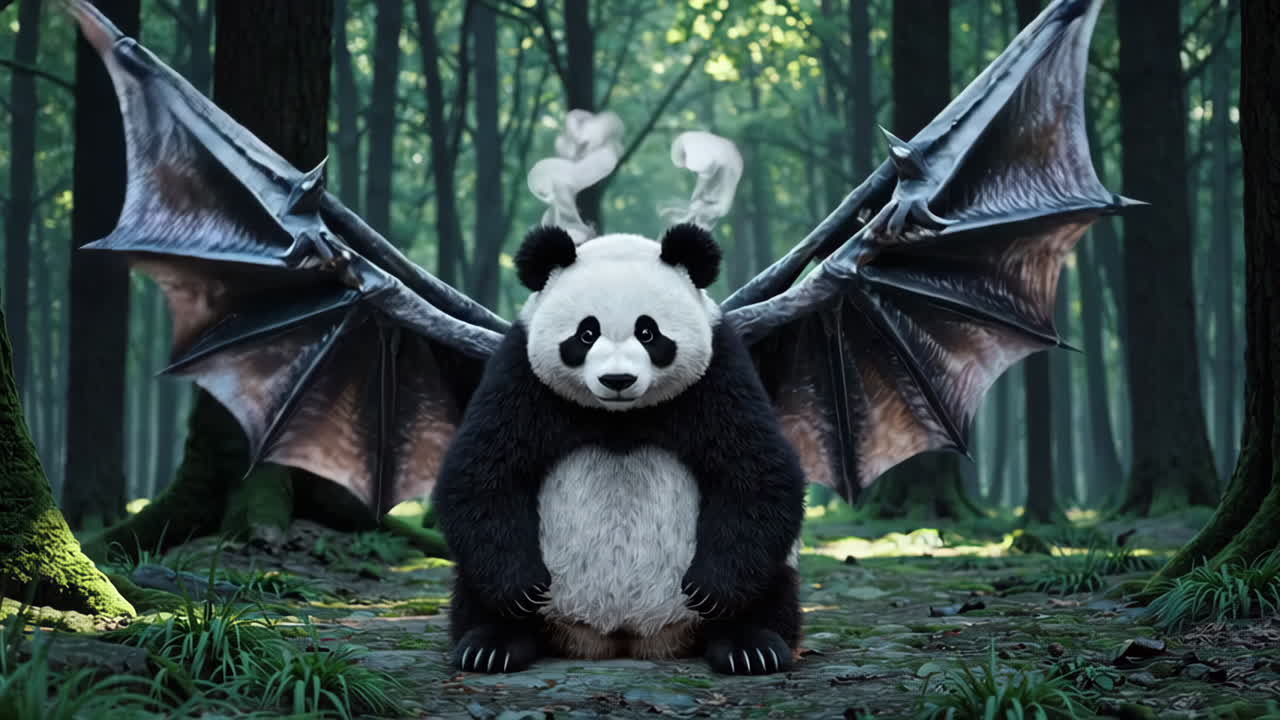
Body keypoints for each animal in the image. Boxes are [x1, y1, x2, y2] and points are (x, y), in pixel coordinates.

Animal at [432, 222, 807, 676]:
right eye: (586, 333)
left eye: (648, 332)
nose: (617, 380)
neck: (619, 417)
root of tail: (620, 637)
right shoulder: (520, 375)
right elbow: (483, 472)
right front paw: (521, 589)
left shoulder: (718, 375)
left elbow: (756, 471)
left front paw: (711, 590)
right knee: (474, 584)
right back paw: (493, 644)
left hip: (763, 573)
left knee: (772, 581)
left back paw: (749, 646)